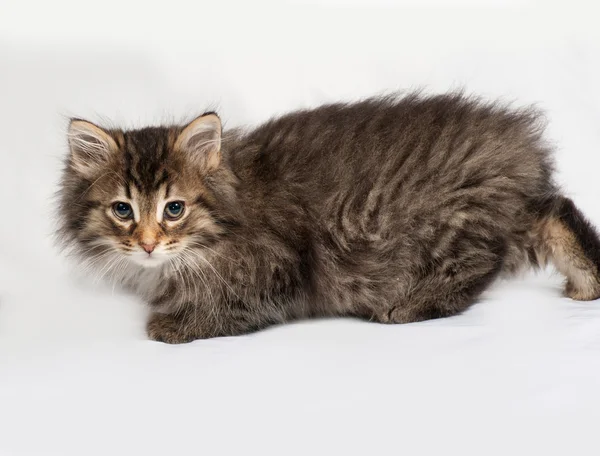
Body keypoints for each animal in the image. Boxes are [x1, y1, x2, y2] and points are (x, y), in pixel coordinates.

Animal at [58, 91, 600, 342]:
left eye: (174, 209)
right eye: (123, 210)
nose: (148, 243)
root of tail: (516, 150)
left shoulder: (277, 268)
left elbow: (227, 305)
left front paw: (173, 323)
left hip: (449, 222)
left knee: (483, 260)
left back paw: (408, 305)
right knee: (551, 212)